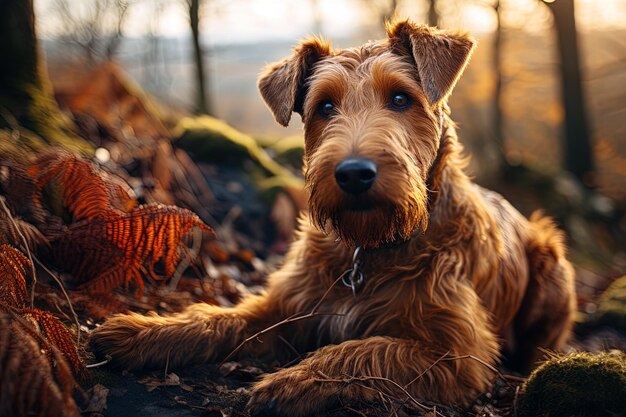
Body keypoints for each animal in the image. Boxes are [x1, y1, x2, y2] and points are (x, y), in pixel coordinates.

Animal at [89, 21, 576, 414]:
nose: (354, 174)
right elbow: (218, 317)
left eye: (401, 98)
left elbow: (360, 350)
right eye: (324, 106)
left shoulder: (456, 353)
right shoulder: (284, 306)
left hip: (552, 263)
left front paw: (293, 381)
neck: (369, 249)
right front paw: (144, 331)